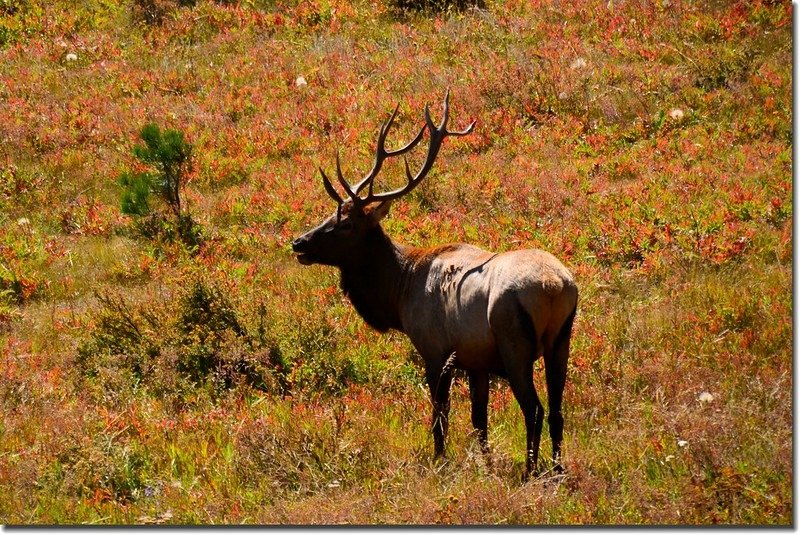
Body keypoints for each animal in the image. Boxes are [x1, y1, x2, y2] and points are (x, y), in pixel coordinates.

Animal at [290, 93, 580, 478]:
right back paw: (557, 468)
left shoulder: (435, 351)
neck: (398, 293)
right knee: (559, 410)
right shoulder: (476, 361)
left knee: (534, 409)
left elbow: (439, 417)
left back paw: (529, 470)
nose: (299, 242)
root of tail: (553, 287)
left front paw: (439, 460)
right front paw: (484, 463)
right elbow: (479, 419)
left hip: (514, 343)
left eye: (346, 224)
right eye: (328, 215)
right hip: (560, 341)